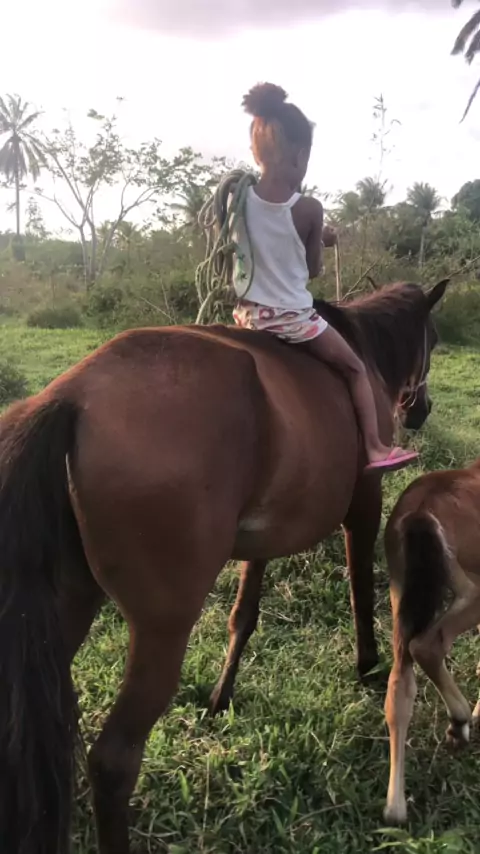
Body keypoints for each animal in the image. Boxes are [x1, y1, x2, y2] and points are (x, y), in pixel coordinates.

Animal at [0, 279, 447, 854]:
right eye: (432, 339)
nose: (420, 411)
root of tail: (70, 398)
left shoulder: (264, 530)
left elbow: (244, 613)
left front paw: (221, 695)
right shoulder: (365, 504)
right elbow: (359, 589)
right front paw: (367, 665)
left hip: (65, 606)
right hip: (162, 627)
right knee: (114, 759)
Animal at [384, 458, 480, 824]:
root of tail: (420, 512)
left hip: (402, 594)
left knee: (400, 682)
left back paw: (394, 809)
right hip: (471, 586)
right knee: (430, 643)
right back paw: (461, 720)